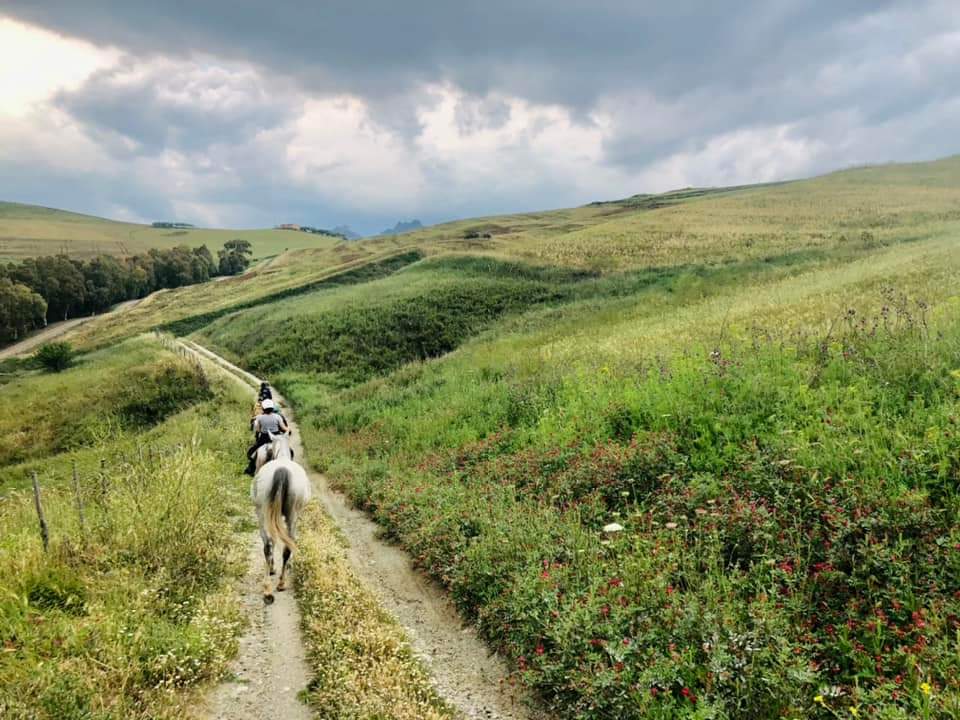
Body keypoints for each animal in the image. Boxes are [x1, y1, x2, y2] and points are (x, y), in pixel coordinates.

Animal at [251, 432, 311, 603]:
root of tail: (282, 469)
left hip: (263, 512)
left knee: (269, 545)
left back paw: (269, 589)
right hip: (290, 515)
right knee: (281, 546)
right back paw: (279, 584)